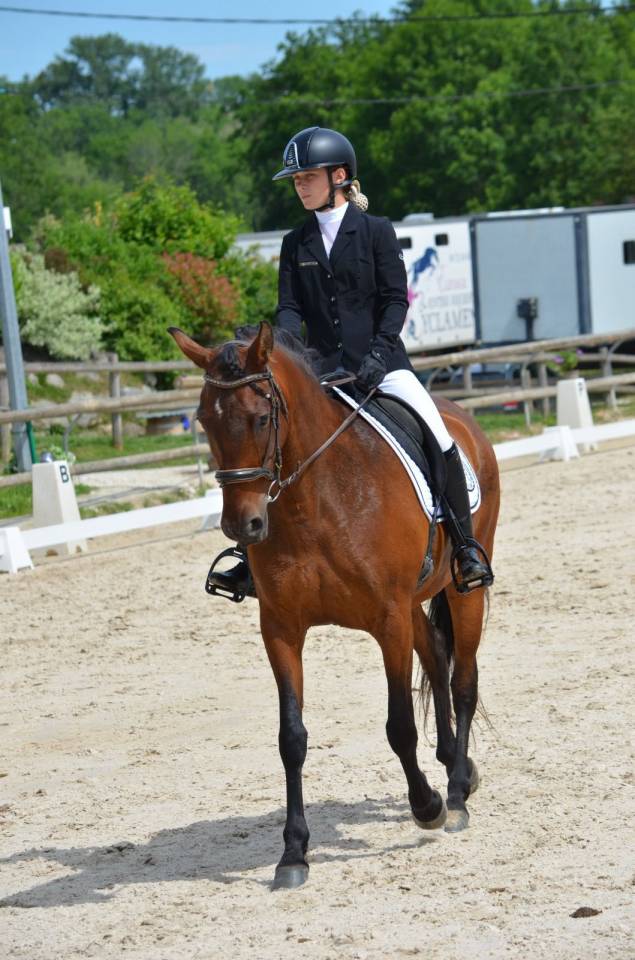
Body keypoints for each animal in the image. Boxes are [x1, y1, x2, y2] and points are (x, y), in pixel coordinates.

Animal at [170, 321, 500, 890]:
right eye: (206, 419)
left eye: (262, 418)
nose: (243, 526)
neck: (315, 500)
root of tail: (464, 420)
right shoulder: (280, 627)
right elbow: (292, 738)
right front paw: (293, 853)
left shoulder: (387, 620)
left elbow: (398, 725)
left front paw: (427, 806)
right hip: (415, 602)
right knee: (437, 657)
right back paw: (454, 767)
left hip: (463, 589)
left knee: (463, 681)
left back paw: (456, 792)